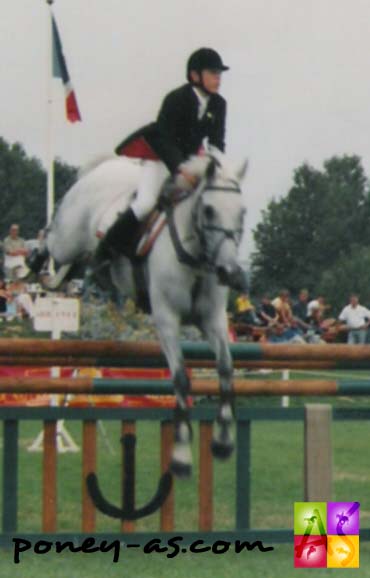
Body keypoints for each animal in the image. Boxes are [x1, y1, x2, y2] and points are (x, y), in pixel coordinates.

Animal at [35, 151, 249, 474]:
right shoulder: (167, 319)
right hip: (68, 237)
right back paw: (32, 265)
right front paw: (181, 455)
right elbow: (181, 379)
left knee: (74, 262)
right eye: (209, 210)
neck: (195, 258)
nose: (230, 273)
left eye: (242, 213)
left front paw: (223, 441)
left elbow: (225, 368)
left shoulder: (212, 320)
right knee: (50, 241)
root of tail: (104, 166)